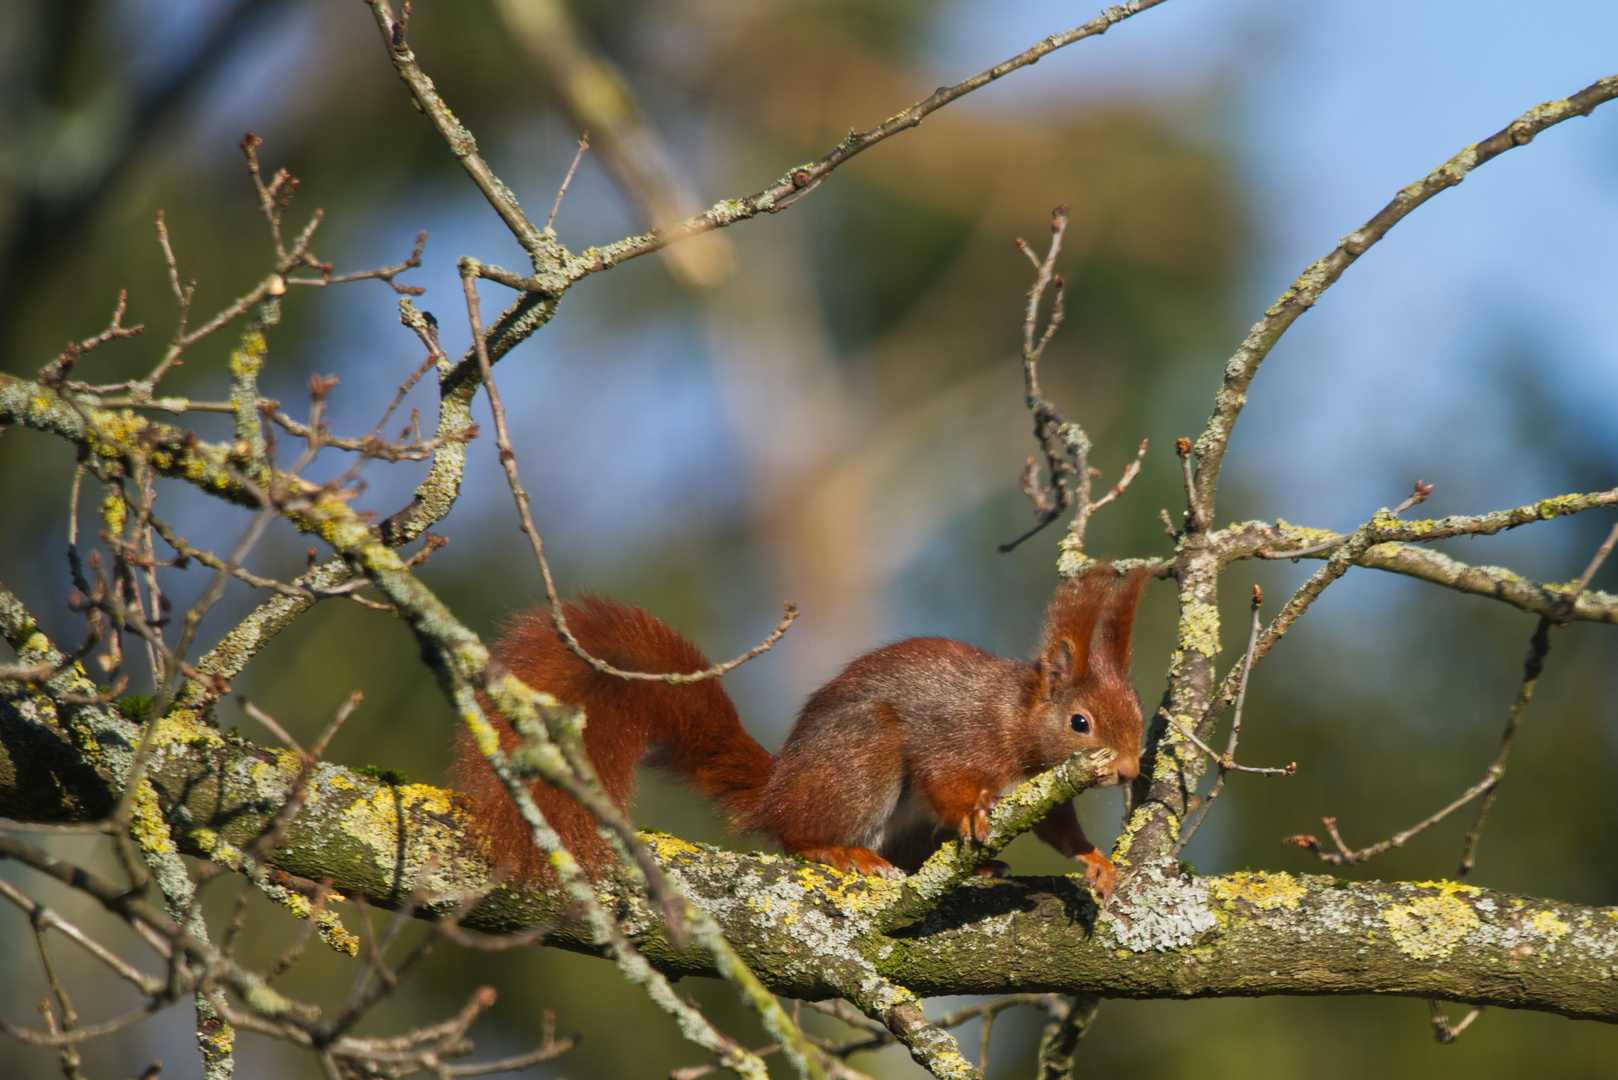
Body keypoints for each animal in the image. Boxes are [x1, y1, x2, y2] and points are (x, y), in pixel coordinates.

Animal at [456, 566, 1152, 906]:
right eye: (1080, 723)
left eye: (1138, 717)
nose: (1124, 772)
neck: (1013, 719)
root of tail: (774, 789)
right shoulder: (958, 736)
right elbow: (944, 779)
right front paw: (973, 814)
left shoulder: (1043, 791)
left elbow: (1059, 831)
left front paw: (1097, 862)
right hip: (863, 759)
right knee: (796, 838)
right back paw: (841, 852)